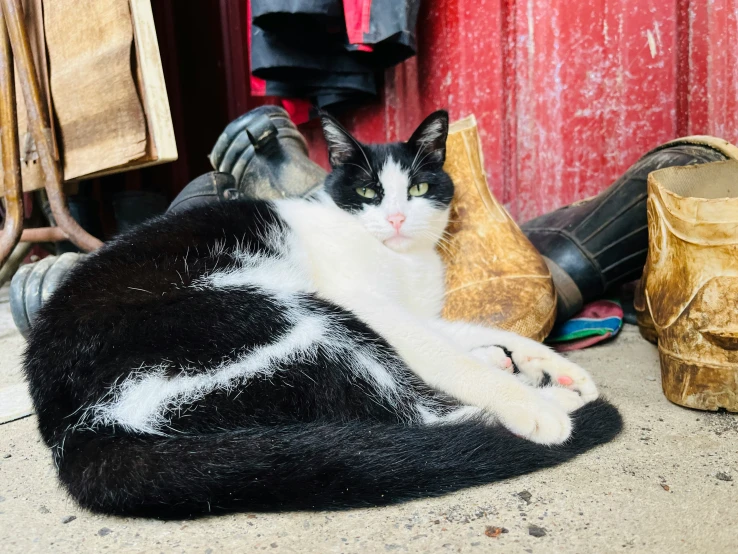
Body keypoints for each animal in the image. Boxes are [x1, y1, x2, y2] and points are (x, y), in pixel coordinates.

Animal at [23, 110, 620, 516]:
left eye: (421, 187)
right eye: (369, 191)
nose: (397, 218)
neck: (403, 260)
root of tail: (69, 431)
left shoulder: (412, 310)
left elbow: (459, 331)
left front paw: (555, 365)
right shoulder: (370, 304)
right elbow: (441, 354)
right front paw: (529, 398)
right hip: (281, 315)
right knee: (414, 412)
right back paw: (552, 405)